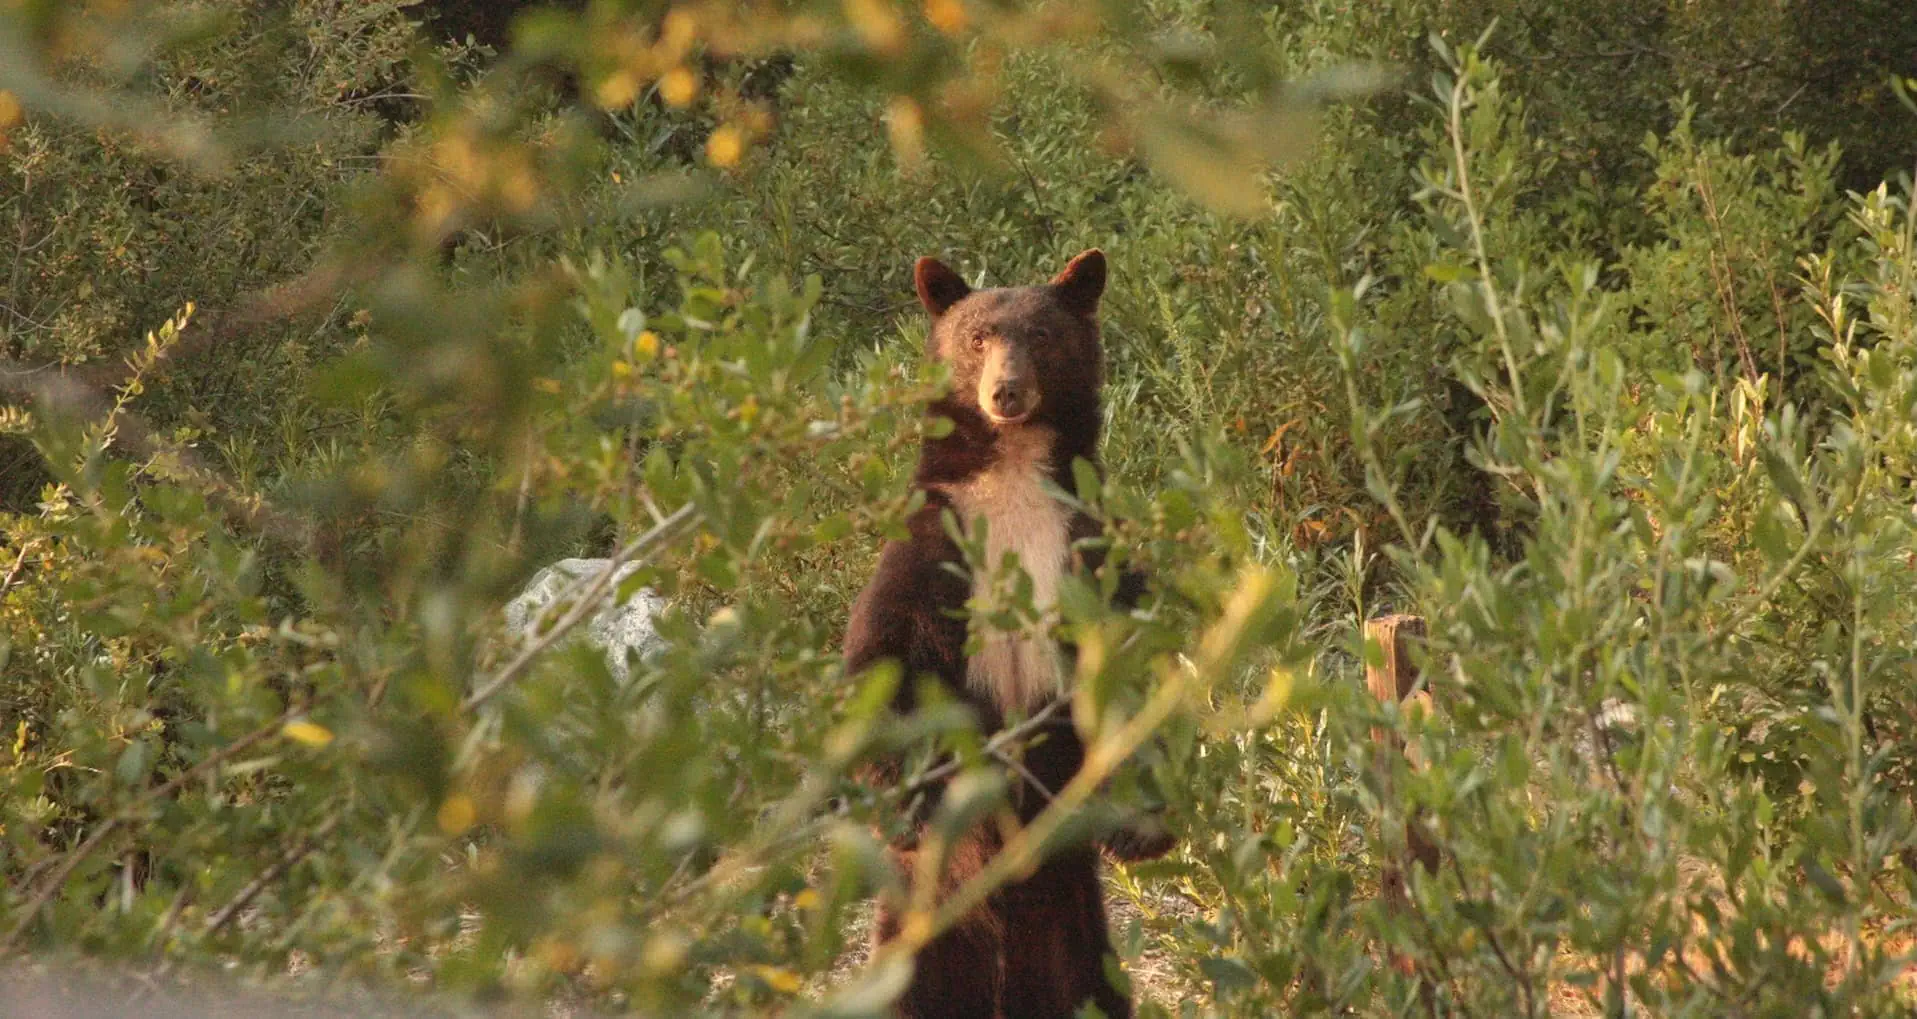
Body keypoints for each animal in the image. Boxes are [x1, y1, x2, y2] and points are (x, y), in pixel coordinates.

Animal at [843, 249, 1167, 1019]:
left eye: (1041, 336)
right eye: (977, 337)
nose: (1007, 391)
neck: (1014, 473)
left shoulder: (1084, 545)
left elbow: (1136, 663)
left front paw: (1139, 822)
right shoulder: (934, 544)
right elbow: (883, 657)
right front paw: (907, 801)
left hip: (1077, 936)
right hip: (916, 937)